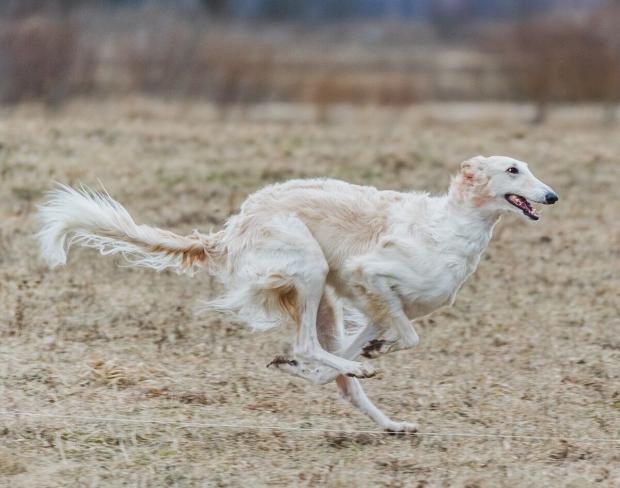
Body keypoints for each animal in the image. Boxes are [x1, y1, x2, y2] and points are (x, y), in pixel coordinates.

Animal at [37, 155, 556, 430]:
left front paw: (364, 354)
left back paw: (387, 419)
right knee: (307, 344)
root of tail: (231, 230)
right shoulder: (371, 275)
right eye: (513, 170)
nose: (551, 196)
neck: (451, 228)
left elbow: (370, 347)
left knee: (333, 371)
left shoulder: (380, 304)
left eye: (528, 168)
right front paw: (366, 356)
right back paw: (344, 369)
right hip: (310, 269)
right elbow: (407, 338)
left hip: (323, 297)